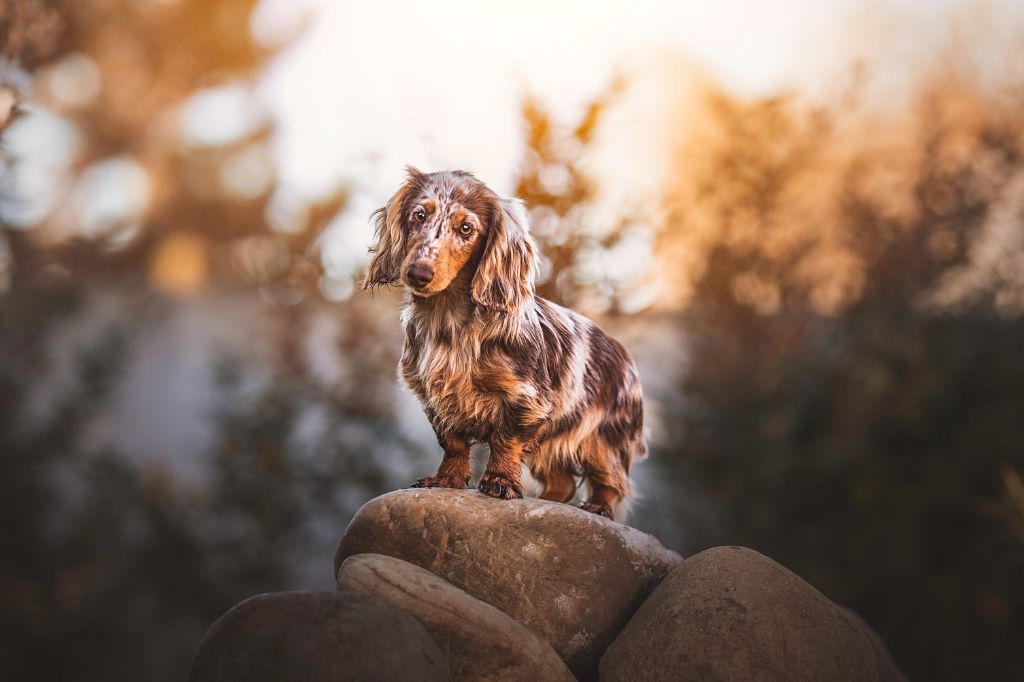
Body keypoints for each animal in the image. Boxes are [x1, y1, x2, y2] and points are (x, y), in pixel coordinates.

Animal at [364, 166, 643, 518]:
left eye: (466, 228)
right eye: (419, 215)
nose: (418, 273)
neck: (449, 322)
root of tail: (624, 356)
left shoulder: (524, 399)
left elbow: (504, 440)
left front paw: (500, 481)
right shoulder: (435, 399)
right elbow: (453, 443)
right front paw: (447, 479)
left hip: (603, 442)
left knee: (610, 481)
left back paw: (597, 506)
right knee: (563, 482)